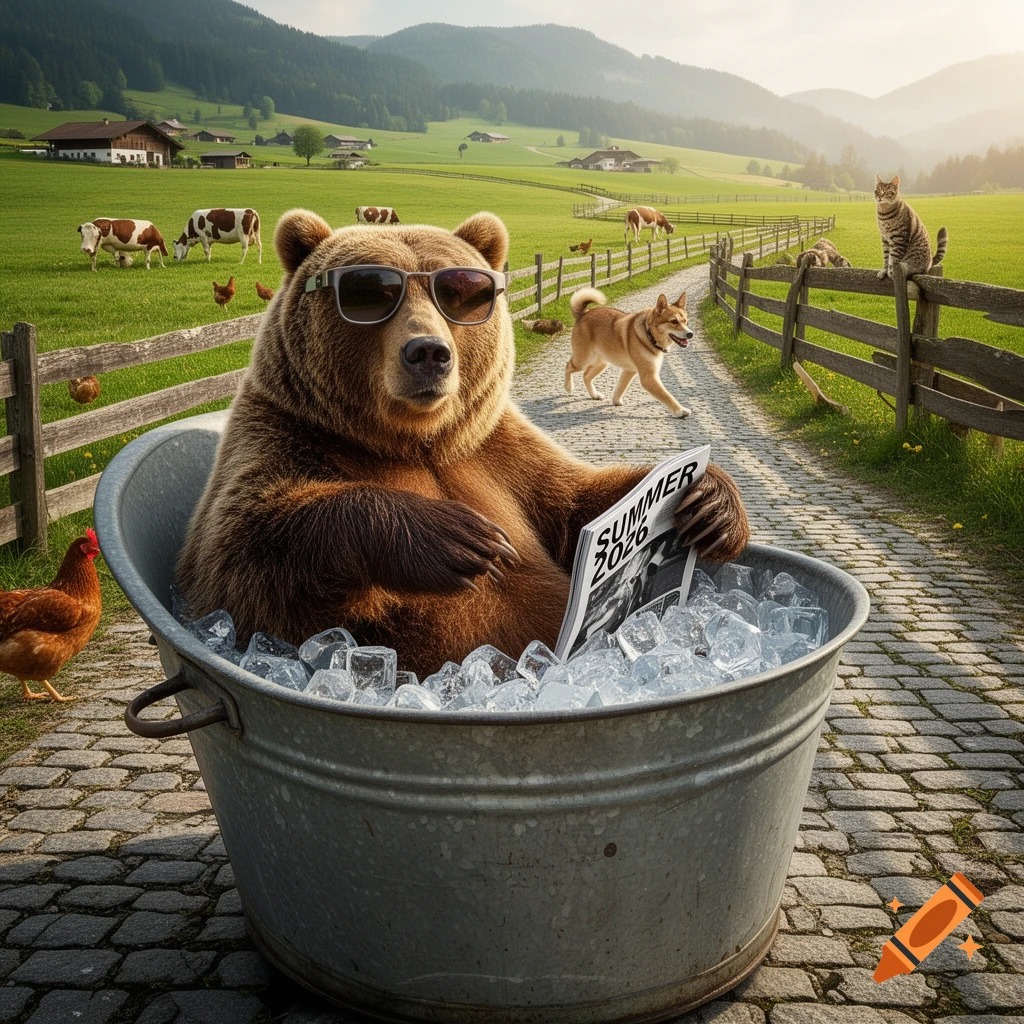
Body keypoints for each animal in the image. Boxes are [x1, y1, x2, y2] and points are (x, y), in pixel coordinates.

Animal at [177, 209, 750, 679]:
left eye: (461, 292)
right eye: (368, 292)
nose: (428, 352)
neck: (417, 440)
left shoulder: (496, 448)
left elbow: (573, 504)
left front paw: (709, 500)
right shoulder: (288, 435)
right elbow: (240, 554)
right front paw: (464, 541)